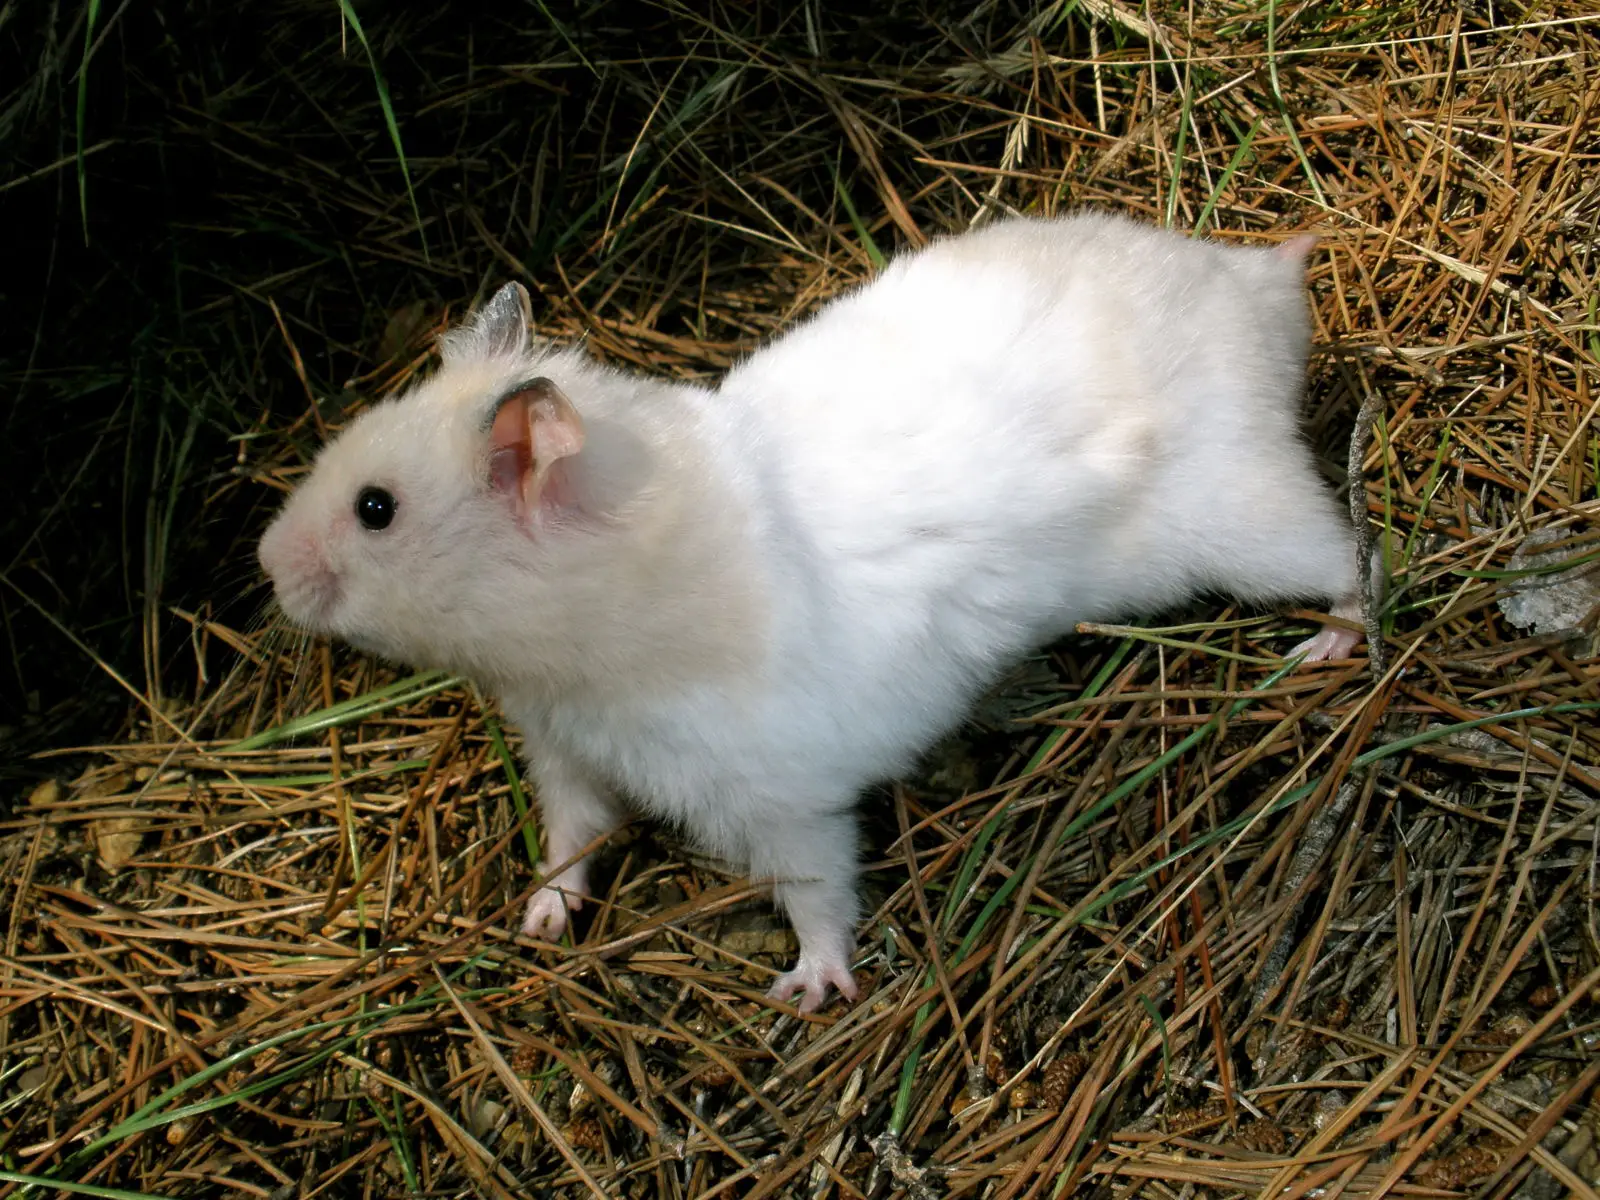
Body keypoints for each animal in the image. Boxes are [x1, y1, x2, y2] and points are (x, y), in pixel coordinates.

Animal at [258, 211, 1363, 1013]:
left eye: (376, 510)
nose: (264, 564)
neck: (580, 656)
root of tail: (1260, 285)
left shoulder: (785, 803)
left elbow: (820, 894)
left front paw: (808, 992)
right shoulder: (568, 757)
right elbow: (572, 842)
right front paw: (538, 920)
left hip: (1246, 519)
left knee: (1357, 556)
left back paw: (1328, 648)